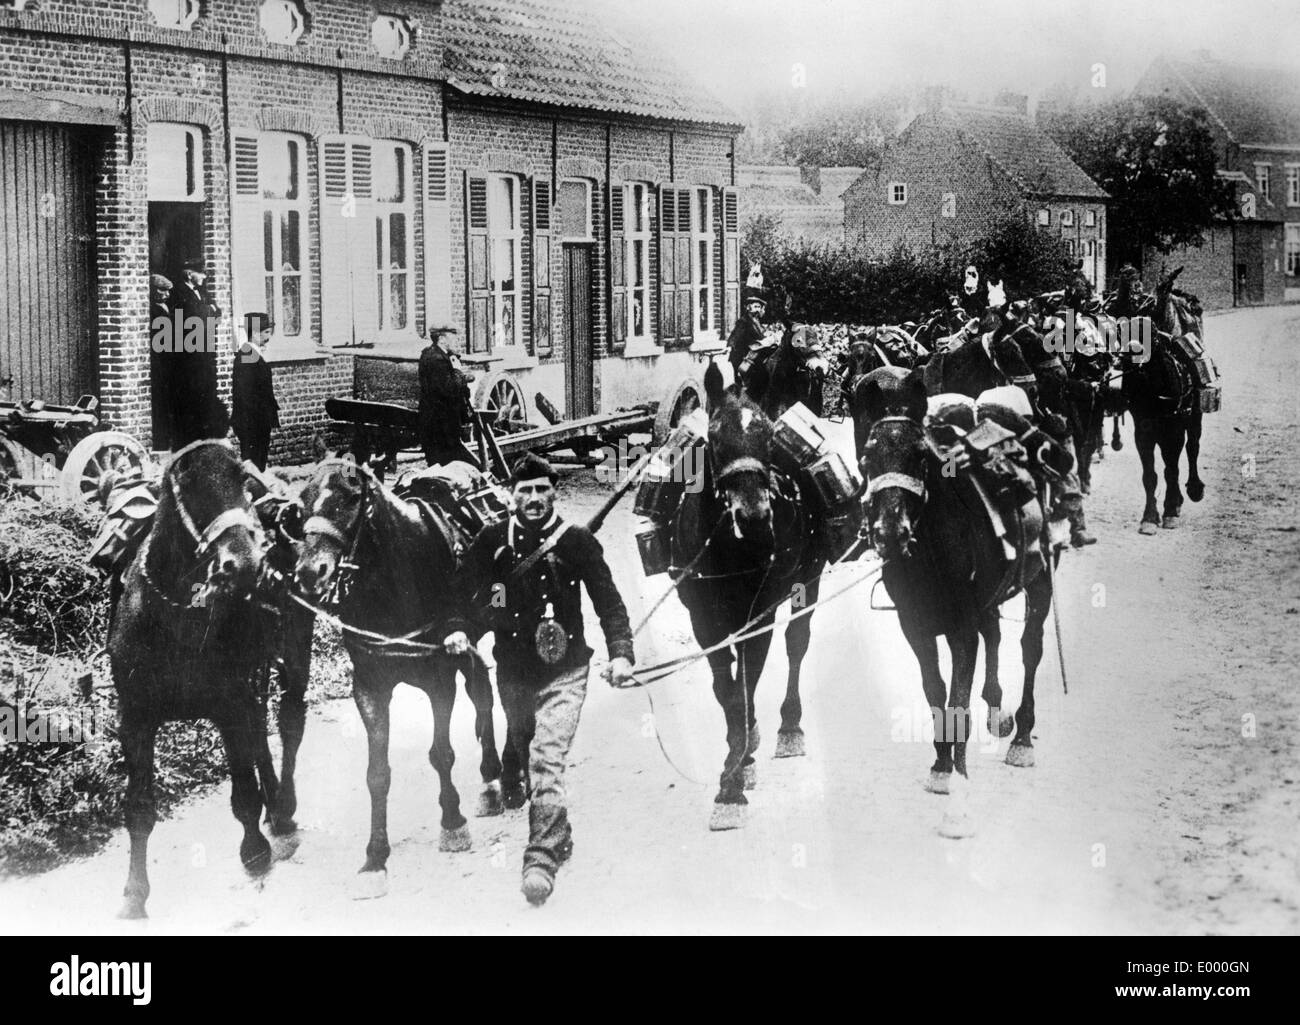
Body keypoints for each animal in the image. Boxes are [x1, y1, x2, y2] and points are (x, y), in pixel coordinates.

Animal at [107, 442, 308, 920]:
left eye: (241, 478)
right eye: (185, 483)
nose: (246, 563)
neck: (175, 613)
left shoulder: (229, 706)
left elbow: (243, 794)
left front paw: (254, 852)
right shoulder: (135, 719)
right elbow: (139, 809)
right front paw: (134, 894)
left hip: (294, 655)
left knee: (289, 722)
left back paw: (283, 805)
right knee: (261, 730)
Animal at [295, 460, 501, 894]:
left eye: (350, 498)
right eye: (302, 501)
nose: (309, 571)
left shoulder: (440, 677)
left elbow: (441, 753)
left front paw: (452, 822)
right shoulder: (370, 687)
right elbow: (377, 774)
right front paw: (375, 855)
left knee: (482, 697)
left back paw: (493, 780)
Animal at [670, 364, 821, 827]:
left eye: (770, 437)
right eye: (715, 438)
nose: (754, 517)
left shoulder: (762, 614)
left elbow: (748, 681)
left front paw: (735, 777)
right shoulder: (704, 620)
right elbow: (727, 688)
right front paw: (733, 771)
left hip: (809, 582)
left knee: (797, 643)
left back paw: (789, 727)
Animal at [852, 372, 1055, 827]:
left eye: (919, 456)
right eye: (868, 457)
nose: (890, 533)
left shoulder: (962, 627)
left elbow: (957, 698)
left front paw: (955, 775)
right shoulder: (915, 627)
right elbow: (935, 691)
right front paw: (941, 763)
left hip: (1041, 580)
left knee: (1030, 647)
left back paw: (1023, 737)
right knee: (995, 634)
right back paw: (998, 710)